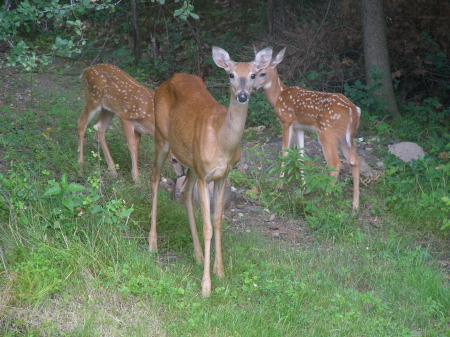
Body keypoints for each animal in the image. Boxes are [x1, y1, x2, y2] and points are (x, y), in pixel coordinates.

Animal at [149, 46, 272, 294]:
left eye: (253, 75)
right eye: (230, 75)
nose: (242, 95)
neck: (222, 142)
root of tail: (168, 80)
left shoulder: (222, 176)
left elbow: (217, 222)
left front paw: (220, 272)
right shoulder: (205, 176)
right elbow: (207, 226)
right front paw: (206, 286)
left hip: (191, 161)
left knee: (185, 192)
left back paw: (197, 255)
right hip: (161, 138)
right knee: (155, 177)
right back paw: (152, 243)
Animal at [255, 48, 360, 209]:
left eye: (263, 73)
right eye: (254, 73)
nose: (252, 87)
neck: (278, 96)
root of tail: (354, 111)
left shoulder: (287, 121)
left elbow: (285, 152)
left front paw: (279, 185)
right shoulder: (300, 127)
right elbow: (300, 155)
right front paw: (303, 187)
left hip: (327, 133)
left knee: (335, 164)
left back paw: (325, 197)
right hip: (346, 137)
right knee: (354, 162)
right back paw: (355, 205)